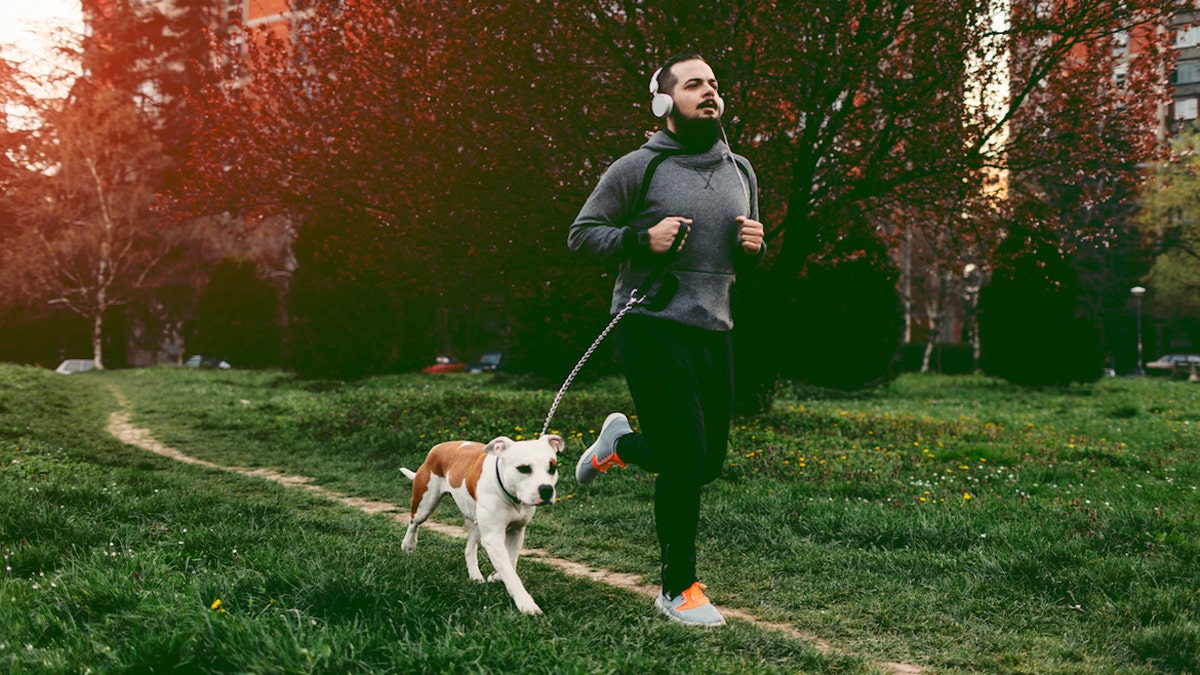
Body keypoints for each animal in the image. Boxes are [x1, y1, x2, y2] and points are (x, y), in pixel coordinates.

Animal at [398, 432, 556, 612]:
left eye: (552, 468)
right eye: (524, 468)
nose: (546, 489)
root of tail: (438, 447)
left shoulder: (517, 531)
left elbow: (510, 560)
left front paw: (497, 575)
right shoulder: (493, 537)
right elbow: (510, 572)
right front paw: (526, 603)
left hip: (475, 522)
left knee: (469, 548)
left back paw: (475, 576)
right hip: (425, 504)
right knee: (414, 522)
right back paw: (408, 545)